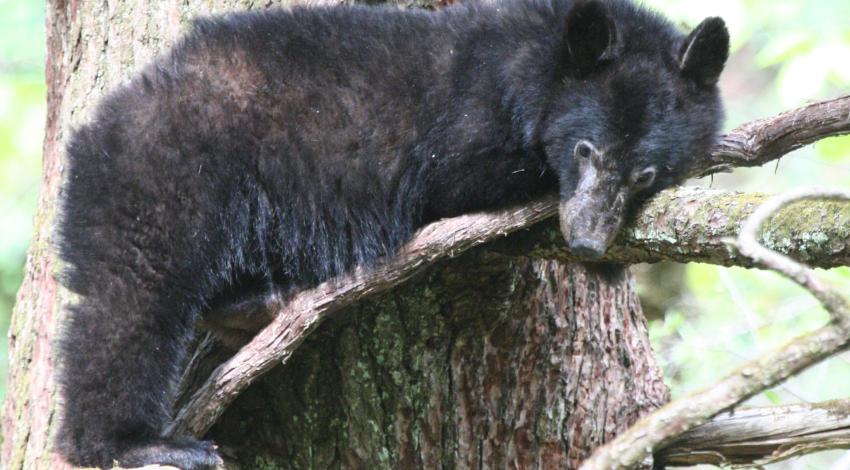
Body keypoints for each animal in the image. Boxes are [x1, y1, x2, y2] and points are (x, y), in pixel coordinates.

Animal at [54, 0, 728, 468]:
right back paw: (134, 442)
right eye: (586, 148)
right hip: (166, 180)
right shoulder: (464, 136)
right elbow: (470, 196)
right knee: (127, 304)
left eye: (646, 172)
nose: (587, 238)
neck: (530, 60)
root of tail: (100, 125)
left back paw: (258, 303)